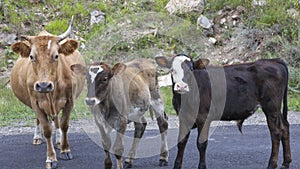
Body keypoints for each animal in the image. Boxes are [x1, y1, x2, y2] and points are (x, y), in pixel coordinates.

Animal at [10, 16, 85, 168]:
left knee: (56, 120)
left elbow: (64, 125)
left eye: (56, 56)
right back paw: (37, 137)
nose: (44, 86)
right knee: (41, 120)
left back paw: (59, 141)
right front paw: (51, 158)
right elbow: (47, 129)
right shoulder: (36, 103)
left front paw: (65, 150)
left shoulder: (70, 101)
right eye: (31, 56)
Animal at [155, 54, 290, 169]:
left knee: (276, 132)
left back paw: (272, 164)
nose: (182, 86)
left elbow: (201, 144)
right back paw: (286, 163)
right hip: (276, 108)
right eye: (172, 70)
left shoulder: (204, 117)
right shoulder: (183, 117)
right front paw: (177, 166)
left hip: (271, 106)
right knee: (284, 127)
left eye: (191, 69)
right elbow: (181, 142)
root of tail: (273, 60)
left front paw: (202, 166)